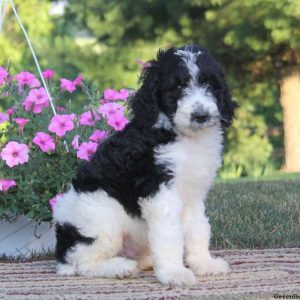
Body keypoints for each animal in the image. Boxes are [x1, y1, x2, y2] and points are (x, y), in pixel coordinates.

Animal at [54, 44, 237, 286]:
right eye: (177, 86)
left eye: (210, 84)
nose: (201, 116)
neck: (182, 137)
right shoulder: (159, 191)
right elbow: (169, 234)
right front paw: (174, 273)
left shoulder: (193, 194)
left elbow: (198, 228)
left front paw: (203, 263)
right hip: (101, 221)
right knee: (84, 262)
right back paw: (120, 268)